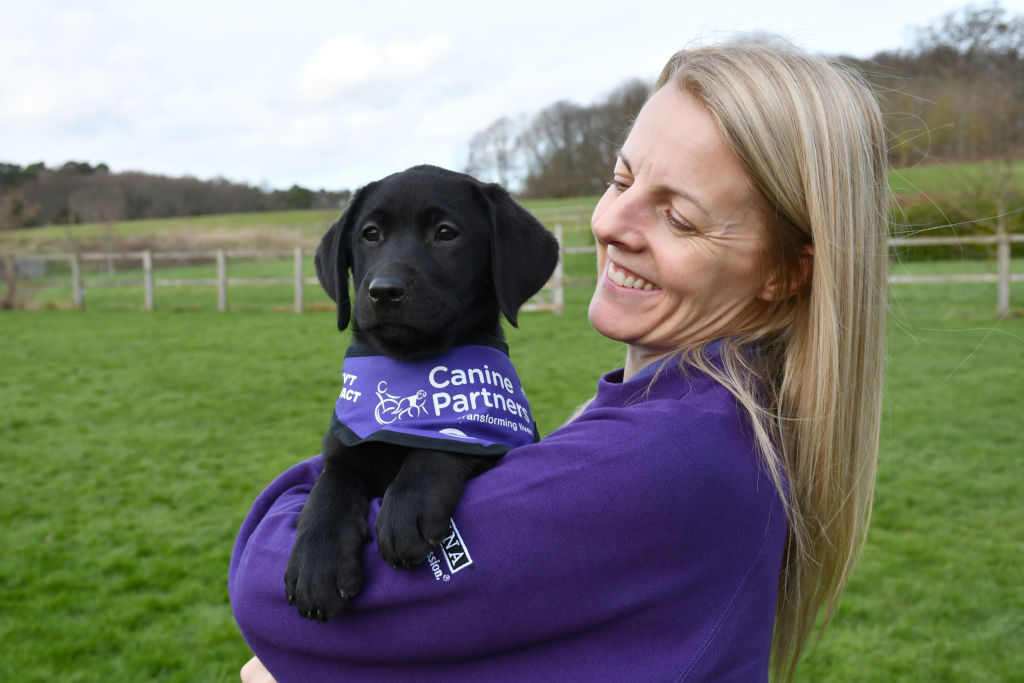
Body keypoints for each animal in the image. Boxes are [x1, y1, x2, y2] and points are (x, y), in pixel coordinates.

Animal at [282, 163, 561, 618]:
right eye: (370, 234)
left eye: (446, 233)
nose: (384, 290)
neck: (412, 368)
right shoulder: (342, 449)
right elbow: (327, 489)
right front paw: (315, 561)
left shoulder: (500, 443)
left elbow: (445, 442)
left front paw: (406, 506)